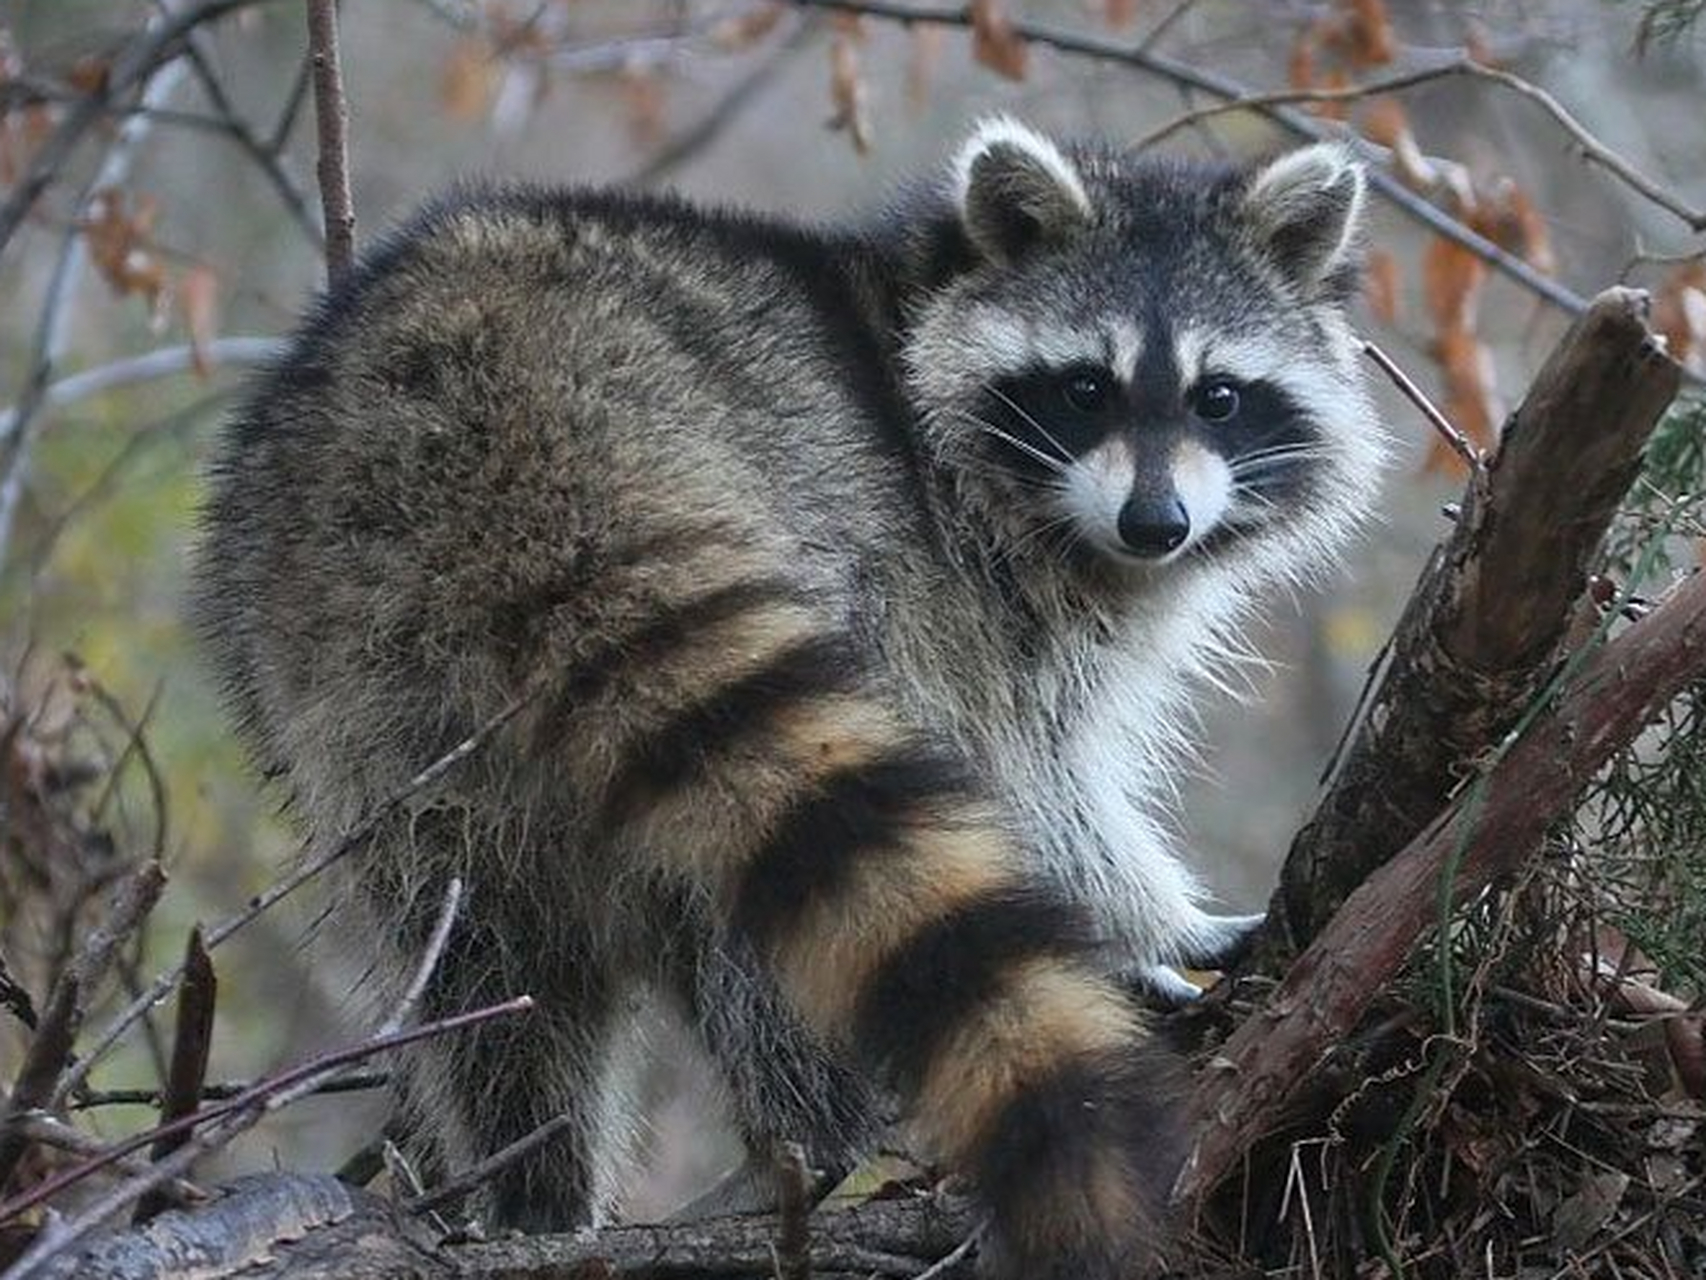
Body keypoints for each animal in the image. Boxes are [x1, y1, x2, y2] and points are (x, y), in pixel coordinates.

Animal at [193, 120, 1378, 1280]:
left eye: (1218, 396)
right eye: (1087, 387)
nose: (1155, 523)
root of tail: (497, 430)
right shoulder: (949, 578)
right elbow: (1031, 780)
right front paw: (1156, 926)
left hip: (350, 676)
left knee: (491, 957)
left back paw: (540, 1187)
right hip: (782, 535)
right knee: (779, 901)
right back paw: (818, 1137)